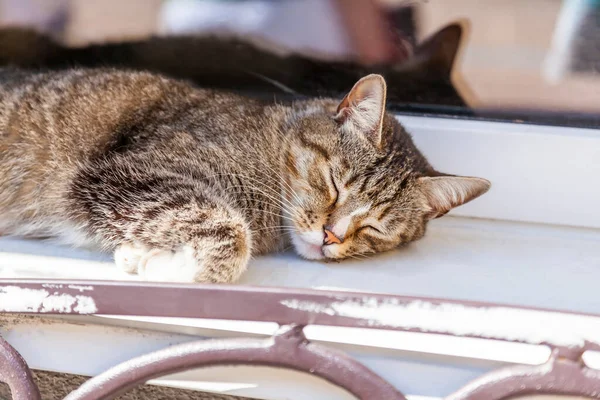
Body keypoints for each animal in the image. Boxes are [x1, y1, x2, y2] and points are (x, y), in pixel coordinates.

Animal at [0, 68, 490, 282]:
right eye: (334, 184)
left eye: (375, 227)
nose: (330, 236)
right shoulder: (126, 172)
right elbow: (232, 235)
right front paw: (169, 264)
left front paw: (148, 254)